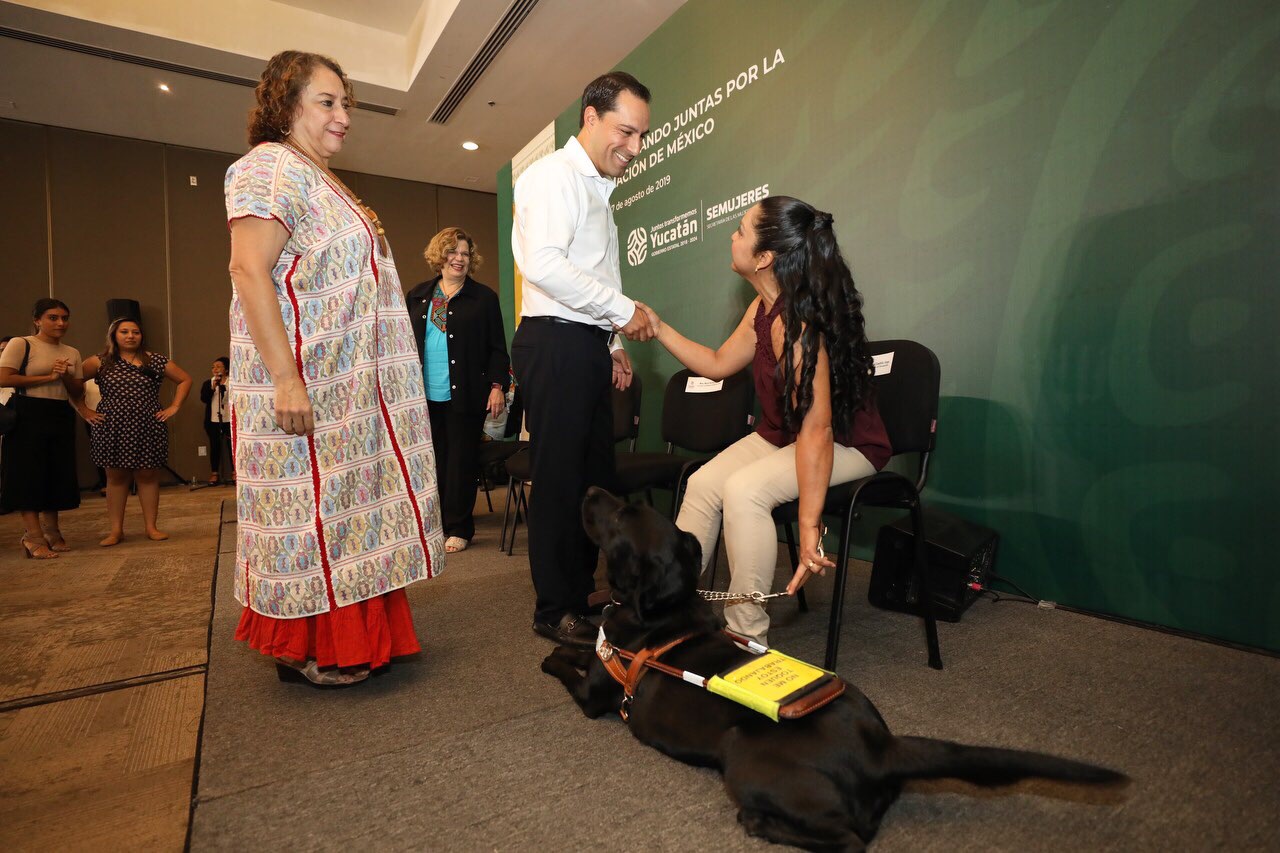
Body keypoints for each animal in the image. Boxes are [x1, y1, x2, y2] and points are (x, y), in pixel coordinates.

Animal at [545, 489, 1126, 845]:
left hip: (742, 756)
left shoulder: (594, 695)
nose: (592, 489)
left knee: (849, 839)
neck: (659, 608)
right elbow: (581, 647)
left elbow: (563, 663)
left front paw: (553, 650)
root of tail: (883, 747)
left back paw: (760, 822)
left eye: (622, 516)